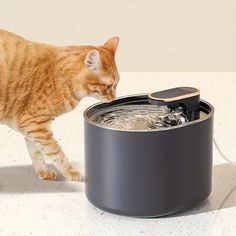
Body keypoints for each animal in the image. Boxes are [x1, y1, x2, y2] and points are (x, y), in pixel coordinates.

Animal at [0, 29, 119, 181]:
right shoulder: (35, 124)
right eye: (109, 86)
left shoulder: (29, 127)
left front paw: (43, 172)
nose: (113, 98)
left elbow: (36, 152)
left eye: (117, 83)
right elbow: (56, 152)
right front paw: (71, 172)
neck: (60, 75)